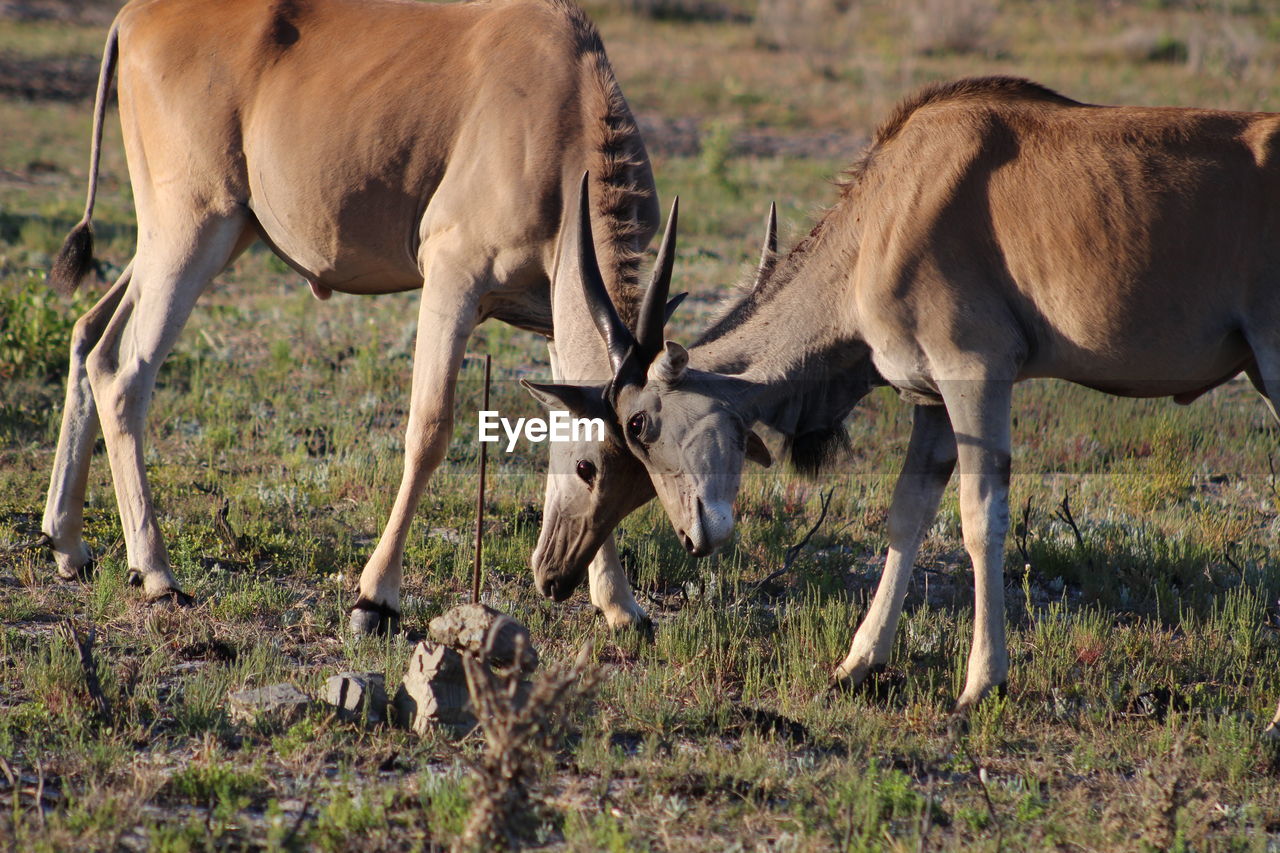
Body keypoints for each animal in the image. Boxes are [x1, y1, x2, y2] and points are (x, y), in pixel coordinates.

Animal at [40, 0, 680, 630]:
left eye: (644, 484)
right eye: (588, 470)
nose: (555, 580)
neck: (562, 106)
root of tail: (134, 15)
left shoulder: (550, 318)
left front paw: (621, 606)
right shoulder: (452, 280)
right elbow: (429, 429)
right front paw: (374, 599)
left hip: (204, 238)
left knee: (90, 338)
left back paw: (67, 544)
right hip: (192, 233)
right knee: (124, 377)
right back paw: (155, 574)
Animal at [535, 76, 1280, 722]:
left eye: (639, 425)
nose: (697, 536)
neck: (886, 211)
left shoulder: (975, 370)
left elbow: (980, 516)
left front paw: (981, 684)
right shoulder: (933, 398)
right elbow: (908, 512)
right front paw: (858, 663)